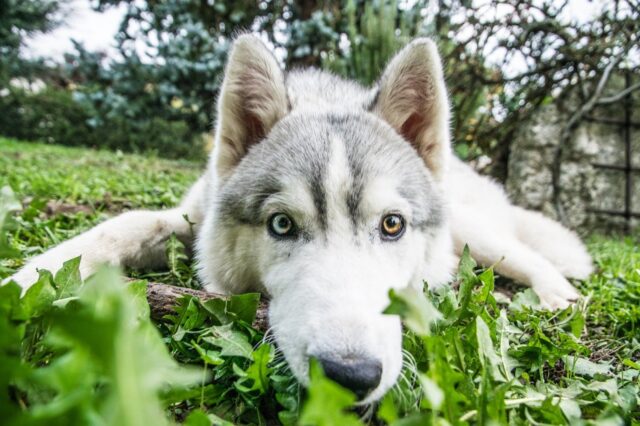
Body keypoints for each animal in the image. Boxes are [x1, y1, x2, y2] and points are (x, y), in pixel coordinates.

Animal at [6, 35, 596, 402]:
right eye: (282, 225)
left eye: (392, 225)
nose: (350, 376)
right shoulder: (188, 218)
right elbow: (119, 225)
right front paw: (27, 279)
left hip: (476, 233)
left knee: (530, 255)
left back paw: (558, 296)